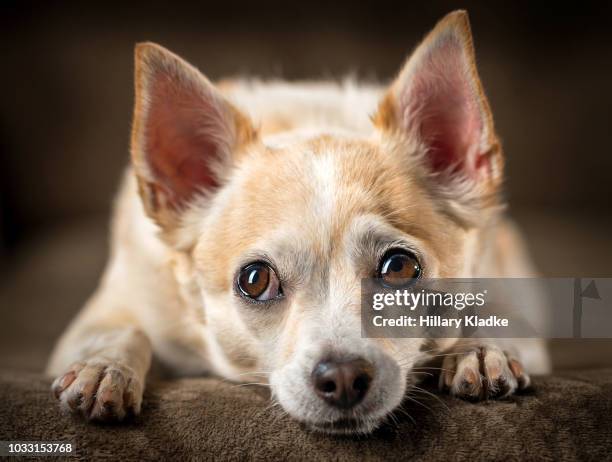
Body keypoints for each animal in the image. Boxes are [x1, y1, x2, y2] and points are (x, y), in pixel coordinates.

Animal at [47, 11, 548, 436]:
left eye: (400, 268)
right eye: (255, 280)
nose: (343, 375)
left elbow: (496, 311)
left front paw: (480, 349)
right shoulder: (107, 312)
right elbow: (121, 329)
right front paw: (103, 368)